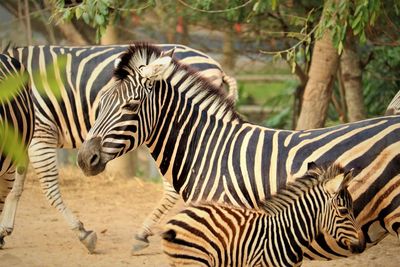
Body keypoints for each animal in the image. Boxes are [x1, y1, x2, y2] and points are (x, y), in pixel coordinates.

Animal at [3, 44, 238, 253]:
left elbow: (48, 187)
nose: (84, 159)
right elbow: (17, 185)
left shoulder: (41, 130)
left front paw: (83, 233)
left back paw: (144, 234)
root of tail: (214, 63)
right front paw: (4, 230)